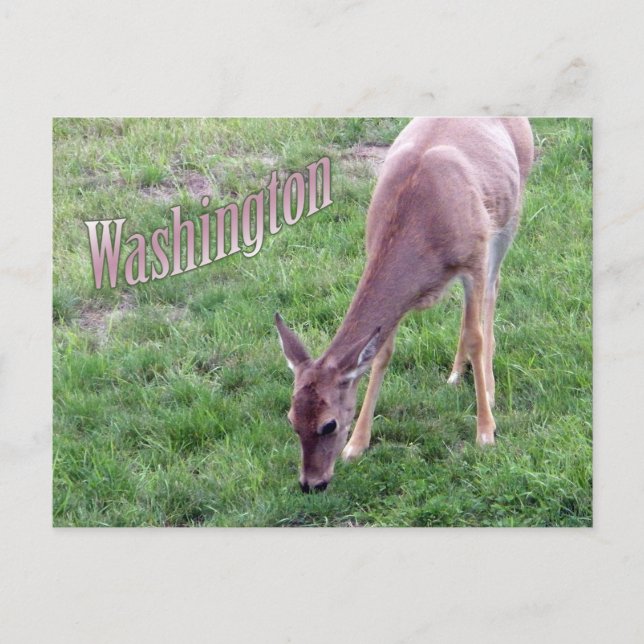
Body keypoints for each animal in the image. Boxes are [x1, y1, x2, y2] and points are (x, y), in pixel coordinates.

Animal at [276, 117, 534, 493]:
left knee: (492, 289)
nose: (312, 483)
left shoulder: (474, 255)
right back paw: (456, 374)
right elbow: (382, 352)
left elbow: (476, 336)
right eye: (292, 420)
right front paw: (357, 445)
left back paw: (488, 386)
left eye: (329, 424)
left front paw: (486, 432)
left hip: (509, 212)